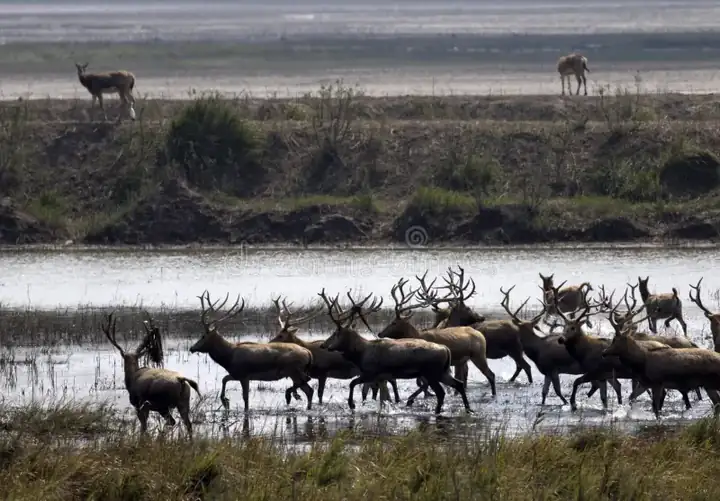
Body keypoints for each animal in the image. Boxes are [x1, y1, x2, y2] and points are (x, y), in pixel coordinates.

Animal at [268, 295, 399, 405]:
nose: (269, 343)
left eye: (281, 336)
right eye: (277, 333)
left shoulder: (323, 372)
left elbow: (320, 393)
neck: (311, 353)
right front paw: (296, 396)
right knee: (374, 386)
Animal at [318, 288, 473, 415]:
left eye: (335, 333)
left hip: (432, 372)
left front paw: (352, 404)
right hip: (442, 371)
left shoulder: (371, 372)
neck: (360, 354)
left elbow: (353, 383)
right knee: (458, 384)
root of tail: (446, 350)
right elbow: (382, 397)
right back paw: (467, 408)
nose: (324, 345)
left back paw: (437, 411)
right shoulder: (381, 377)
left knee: (441, 392)